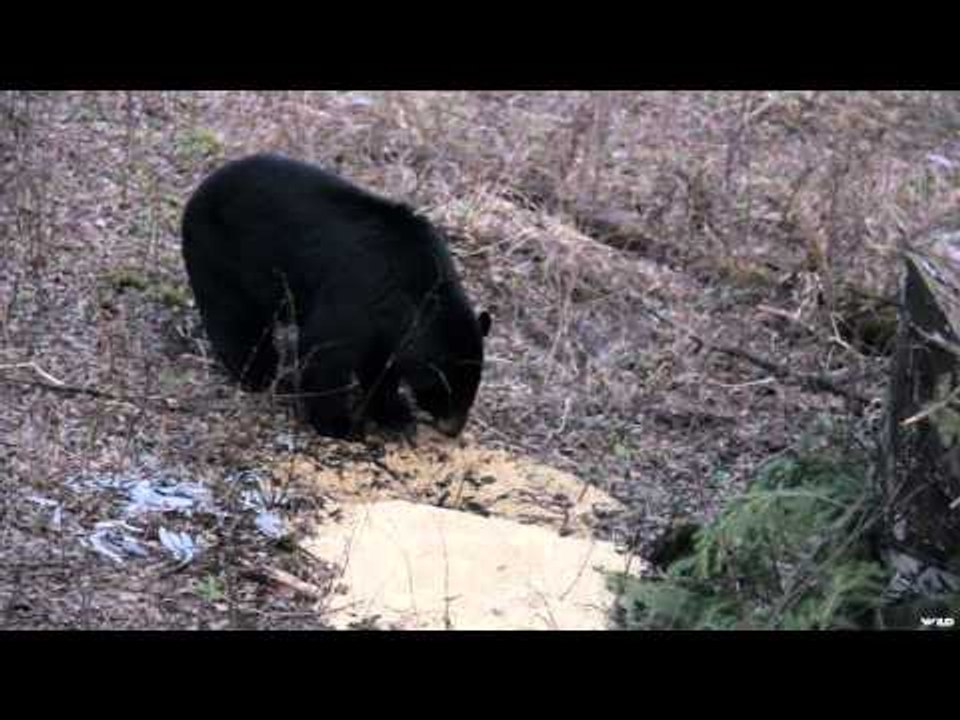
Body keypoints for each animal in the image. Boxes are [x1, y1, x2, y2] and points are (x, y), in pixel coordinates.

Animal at [180, 153, 491, 440]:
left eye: (473, 385)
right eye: (445, 388)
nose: (453, 429)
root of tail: (201, 188)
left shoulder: (385, 326)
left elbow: (380, 367)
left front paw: (396, 416)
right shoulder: (358, 290)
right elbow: (325, 351)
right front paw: (342, 425)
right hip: (220, 256)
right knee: (234, 320)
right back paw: (259, 374)